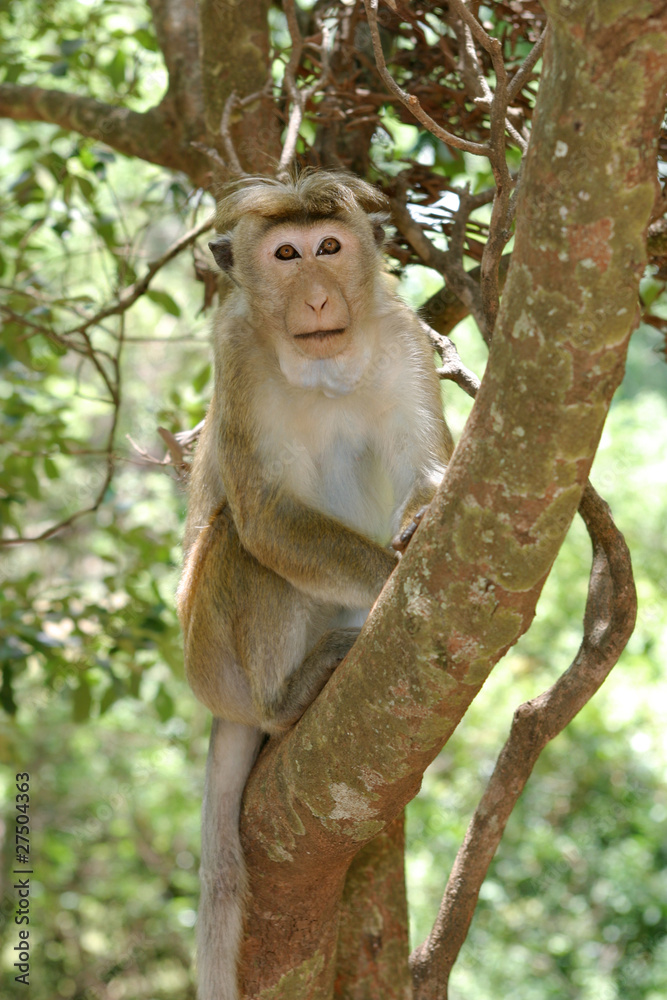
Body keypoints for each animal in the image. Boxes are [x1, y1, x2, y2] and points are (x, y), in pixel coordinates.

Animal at [176, 171, 453, 1000]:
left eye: (329, 247)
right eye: (286, 255)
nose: (321, 296)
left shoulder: (402, 338)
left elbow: (430, 468)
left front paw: (417, 524)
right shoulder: (234, 350)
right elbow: (266, 517)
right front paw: (391, 576)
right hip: (211, 660)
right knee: (240, 544)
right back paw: (285, 700)